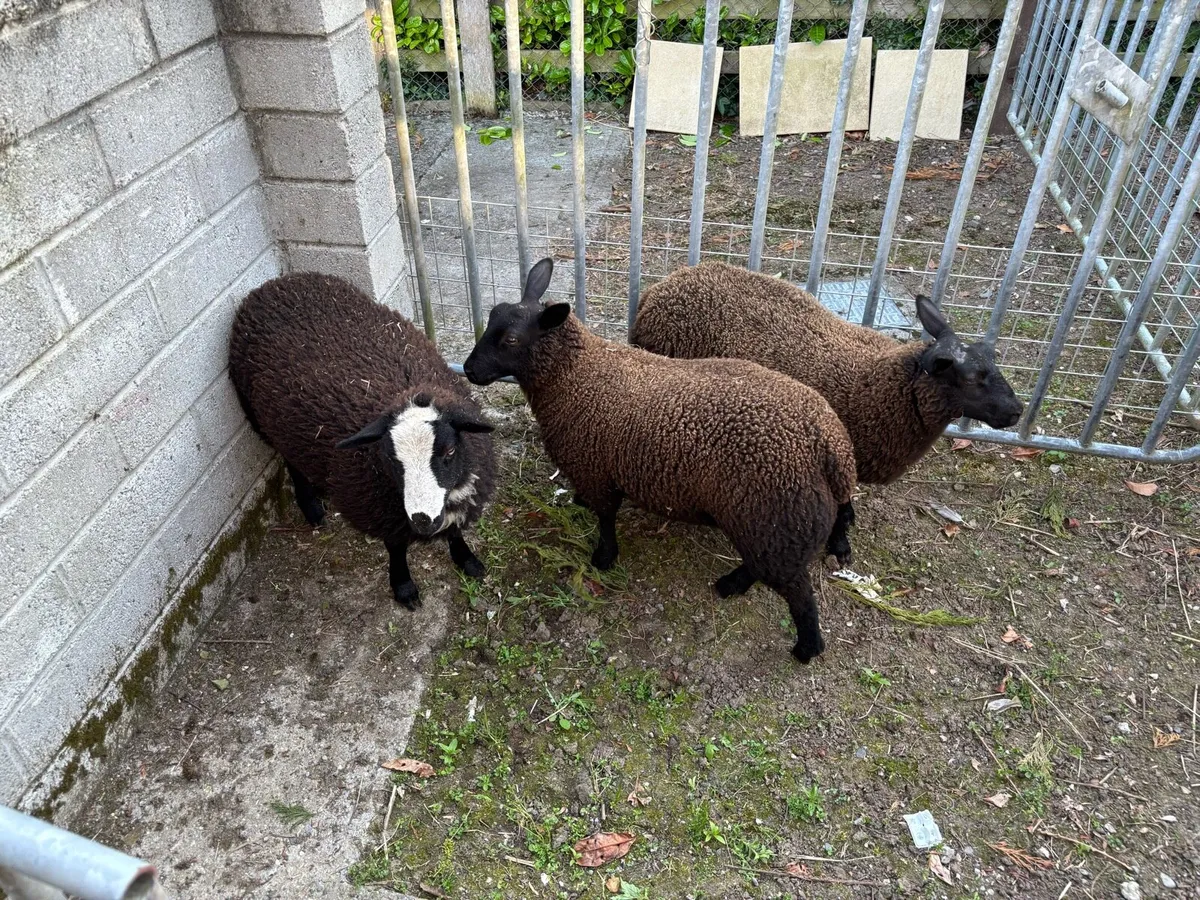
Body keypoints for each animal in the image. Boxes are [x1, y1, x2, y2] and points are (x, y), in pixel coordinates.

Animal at [228, 272, 496, 609]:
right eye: (391, 459)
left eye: (449, 451)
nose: (422, 520)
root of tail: (274, 283)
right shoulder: (381, 511)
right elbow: (396, 547)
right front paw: (403, 586)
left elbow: (455, 532)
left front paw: (467, 560)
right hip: (264, 419)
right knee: (290, 460)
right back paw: (311, 507)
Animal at [462, 258, 857, 664]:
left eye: (511, 339)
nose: (469, 369)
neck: (573, 375)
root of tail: (831, 447)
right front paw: (582, 507)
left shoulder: (595, 467)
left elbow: (606, 517)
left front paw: (604, 558)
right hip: (768, 525)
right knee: (761, 567)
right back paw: (731, 585)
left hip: (776, 521)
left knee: (798, 593)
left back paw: (806, 647)